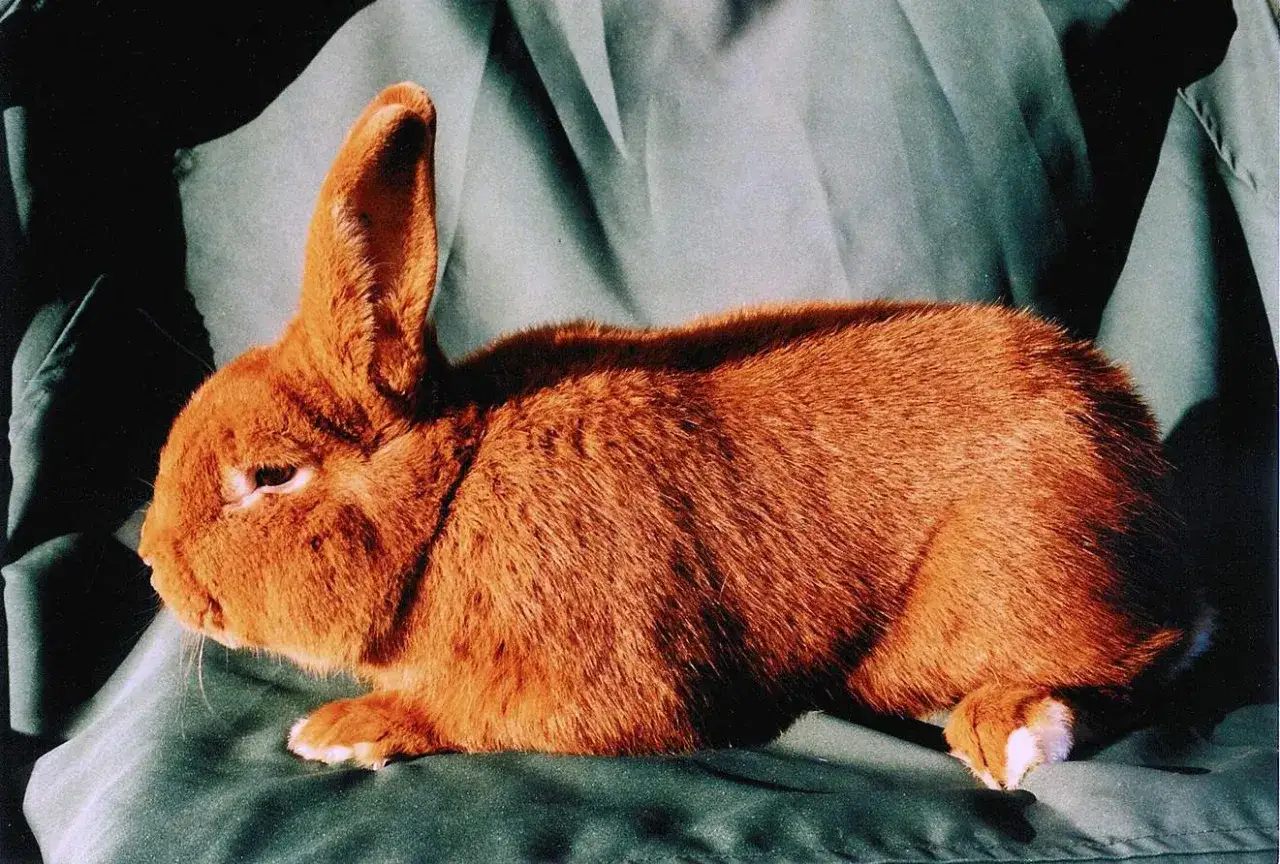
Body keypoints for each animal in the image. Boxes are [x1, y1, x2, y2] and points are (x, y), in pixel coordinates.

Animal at [139, 82, 1203, 790]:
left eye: (270, 475)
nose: (152, 564)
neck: (450, 494)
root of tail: (1147, 483)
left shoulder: (591, 674)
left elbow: (472, 711)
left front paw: (347, 727)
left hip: (1013, 579)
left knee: (1140, 658)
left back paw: (1010, 731)